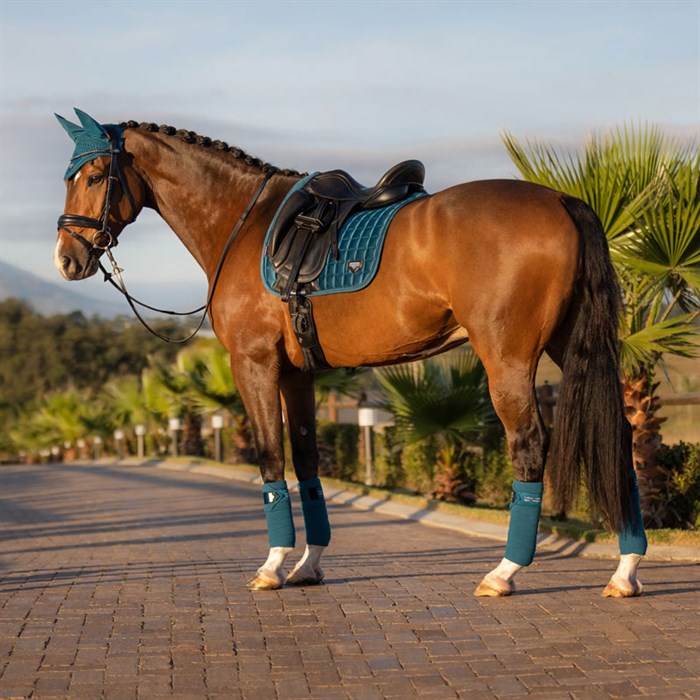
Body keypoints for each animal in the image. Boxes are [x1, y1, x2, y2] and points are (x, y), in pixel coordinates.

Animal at [53, 109, 644, 596]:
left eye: (96, 176)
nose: (66, 259)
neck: (244, 222)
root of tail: (562, 200)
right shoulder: (298, 374)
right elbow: (307, 460)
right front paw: (308, 564)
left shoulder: (255, 364)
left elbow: (270, 456)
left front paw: (272, 565)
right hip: (571, 346)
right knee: (619, 435)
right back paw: (626, 570)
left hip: (508, 358)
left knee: (528, 444)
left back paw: (505, 572)